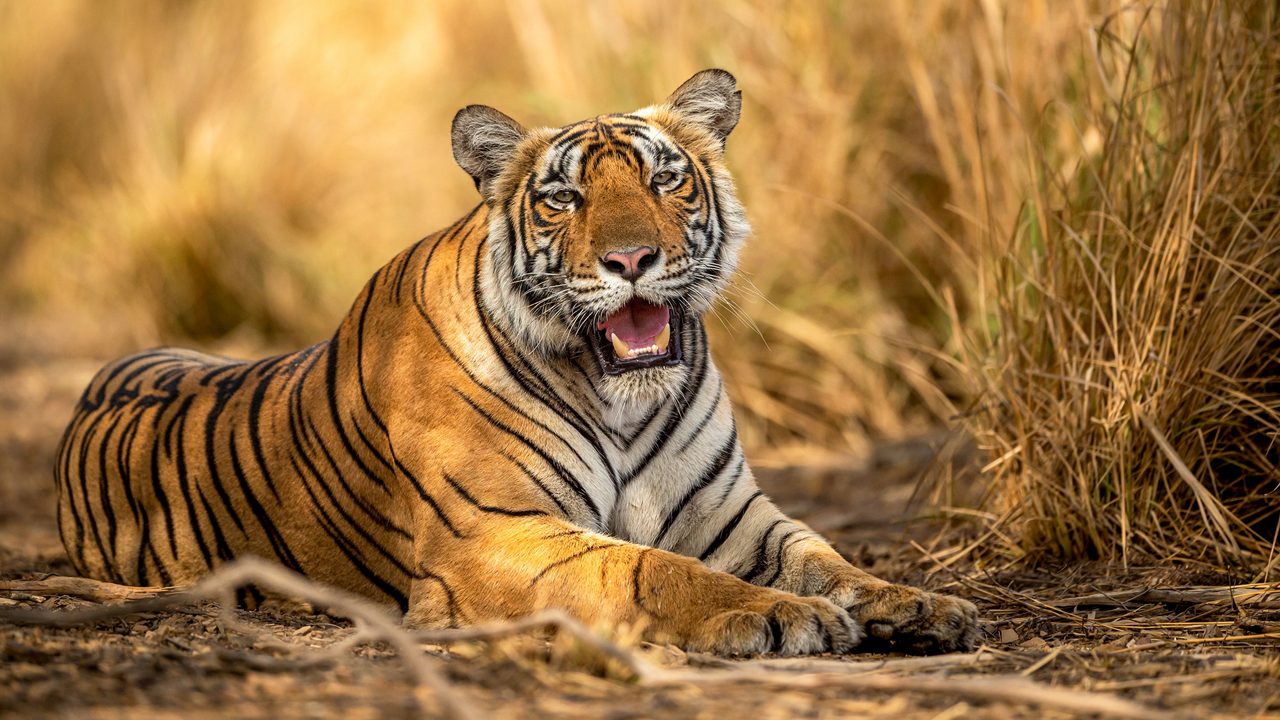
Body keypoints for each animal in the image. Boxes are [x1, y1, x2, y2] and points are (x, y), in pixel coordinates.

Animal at [57, 70, 977, 653]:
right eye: (564, 197)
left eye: (665, 181)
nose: (632, 259)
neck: (621, 397)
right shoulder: (493, 531)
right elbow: (651, 569)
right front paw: (785, 617)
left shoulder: (730, 513)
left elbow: (824, 556)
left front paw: (922, 604)